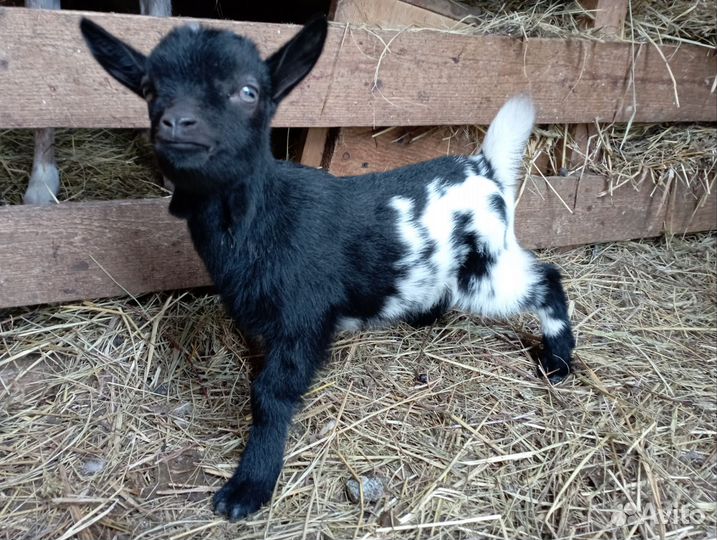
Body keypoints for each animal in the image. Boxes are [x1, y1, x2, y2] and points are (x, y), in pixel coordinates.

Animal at [80, 16, 575, 521]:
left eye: (248, 91)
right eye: (148, 89)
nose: (177, 123)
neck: (263, 222)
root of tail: (485, 169)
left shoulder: (305, 318)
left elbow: (271, 395)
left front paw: (249, 487)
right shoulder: (259, 319)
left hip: (486, 267)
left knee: (546, 279)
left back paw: (557, 360)